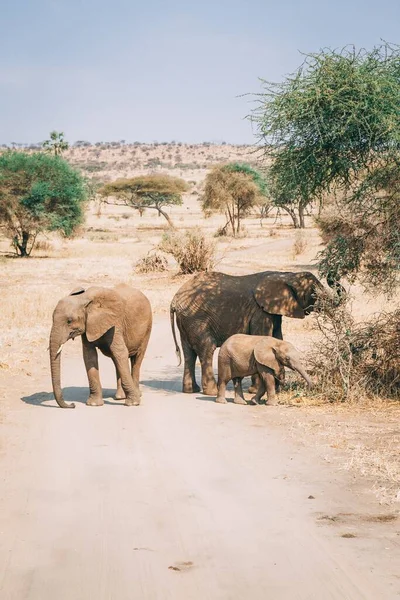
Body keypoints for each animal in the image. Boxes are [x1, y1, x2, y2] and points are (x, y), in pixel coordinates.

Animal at [169, 270, 340, 396]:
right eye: (313, 293)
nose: (332, 275)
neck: (286, 275)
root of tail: (174, 301)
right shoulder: (260, 312)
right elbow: (263, 336)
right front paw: (256, 390)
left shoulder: (273, 311)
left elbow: (277, 337)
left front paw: (276, 388)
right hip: (197, 319)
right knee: (207, 348)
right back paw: (211, 392)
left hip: (187, 321)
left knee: (189, 353)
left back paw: (191, 391)